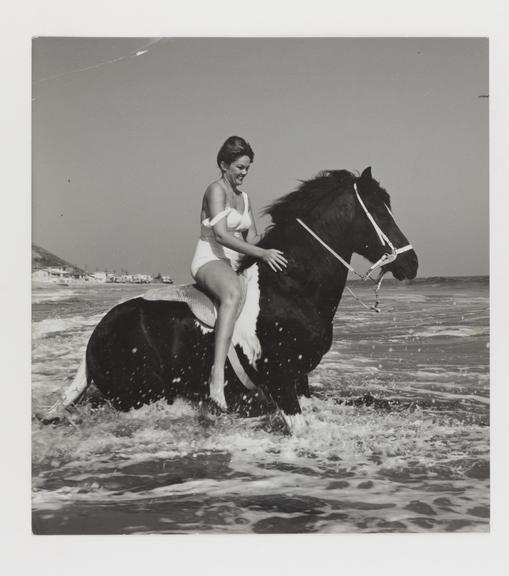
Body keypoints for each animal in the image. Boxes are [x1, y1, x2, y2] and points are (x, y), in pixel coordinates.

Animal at [50, 166, 416, 432]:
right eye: (379, 213)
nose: (411, 264)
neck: (289, 288)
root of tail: (96, 334)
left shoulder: (300, 378)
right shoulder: (279, 378)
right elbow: (301, 429)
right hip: (138, 396)